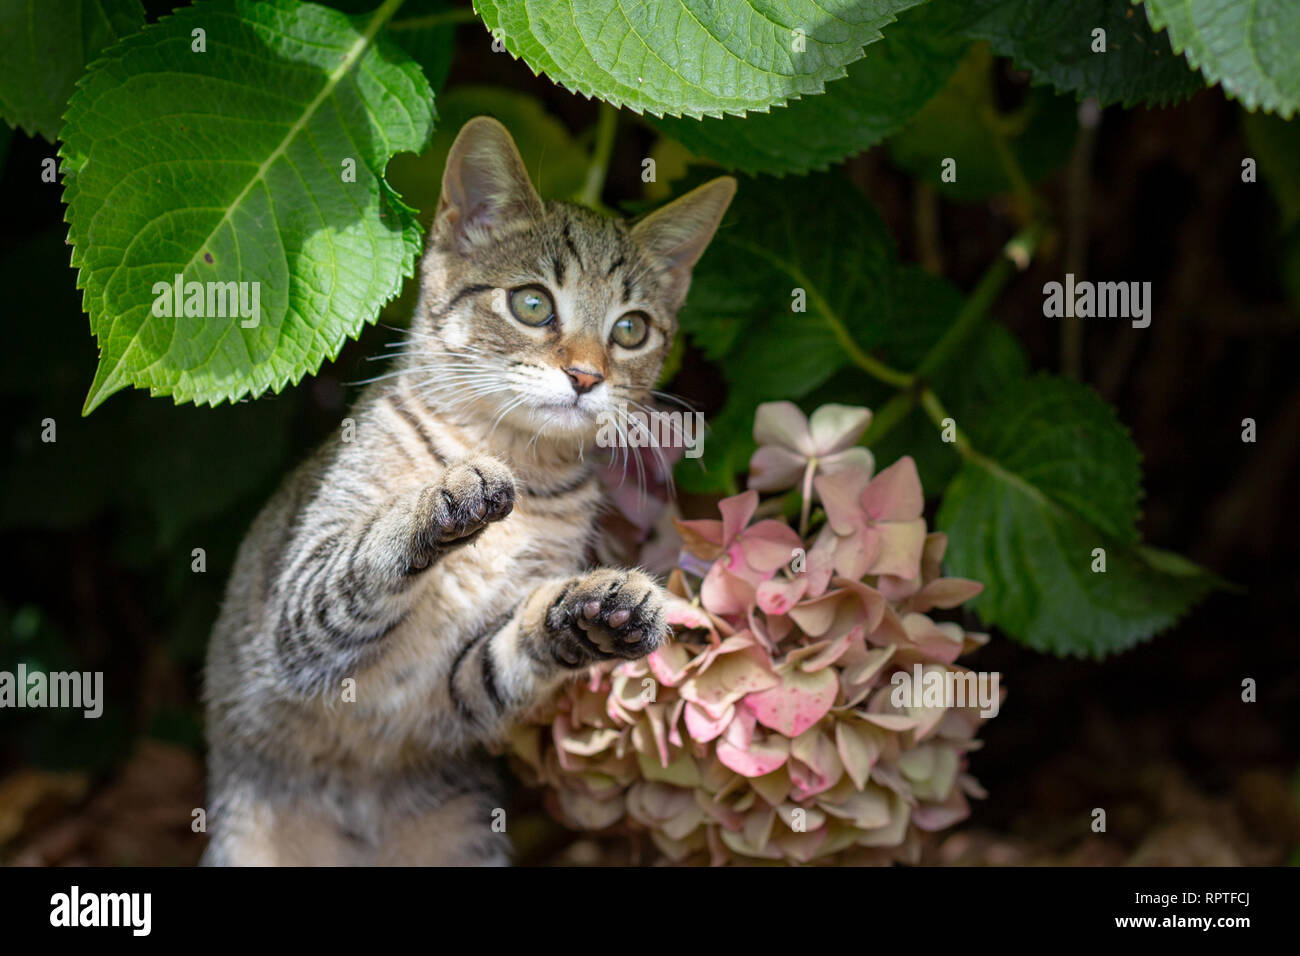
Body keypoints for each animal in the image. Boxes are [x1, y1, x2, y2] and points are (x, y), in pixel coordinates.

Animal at [200, 115, 733, 863]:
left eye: (631, 329)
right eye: (532, 304)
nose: (586, 376)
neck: (524, 472)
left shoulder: (459, 686)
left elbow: (511, 651)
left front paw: (594, 612)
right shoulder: (295, 619)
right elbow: (362, 554)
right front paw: (439, 499)